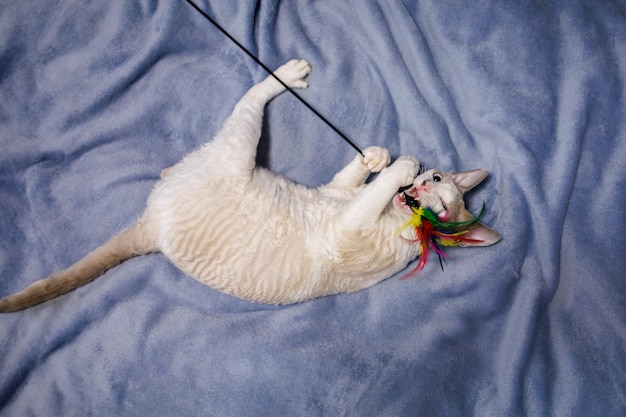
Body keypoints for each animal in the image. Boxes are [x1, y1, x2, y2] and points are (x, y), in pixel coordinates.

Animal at [0, 59, 498, 312]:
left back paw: (289, 73)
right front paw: (378, 156)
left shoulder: (348, 226)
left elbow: (373, 188)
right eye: (435, 180)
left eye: (437, 214)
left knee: (251, 100)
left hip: (237, 150)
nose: (419, 191)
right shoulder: (340, 195)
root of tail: (151, 229)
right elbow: (357, 175)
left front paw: (397, 165)